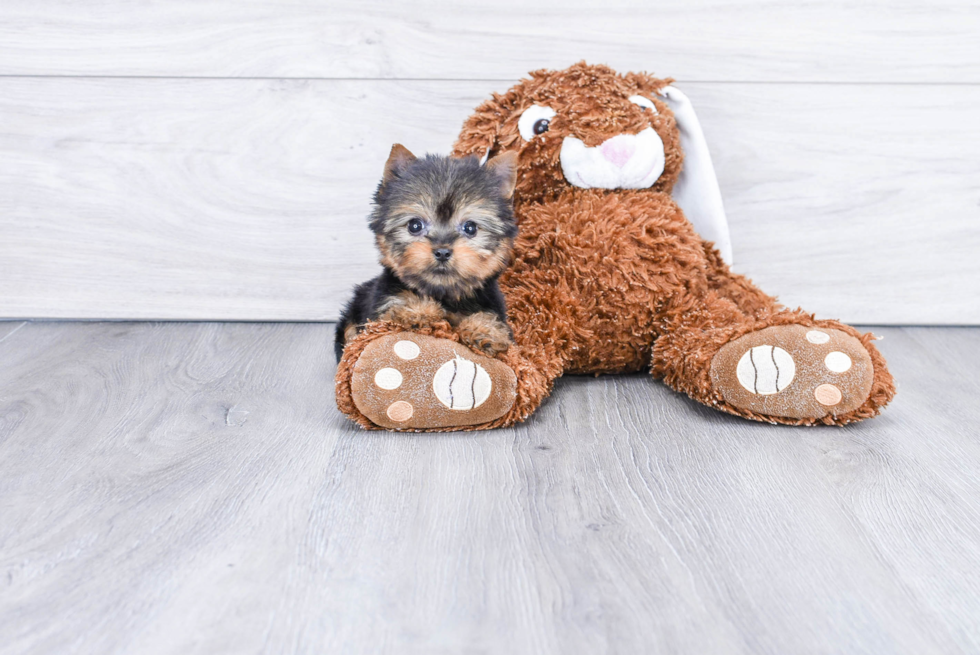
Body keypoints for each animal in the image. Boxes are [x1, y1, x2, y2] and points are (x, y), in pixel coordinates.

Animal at [334, 144, 520, 364]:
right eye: (415, 225)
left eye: (470, 228)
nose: (442, 251)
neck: (443, 294)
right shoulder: (382, 302)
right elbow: (398, 302)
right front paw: (416, 311)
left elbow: (490, 317)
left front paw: (485, 330)